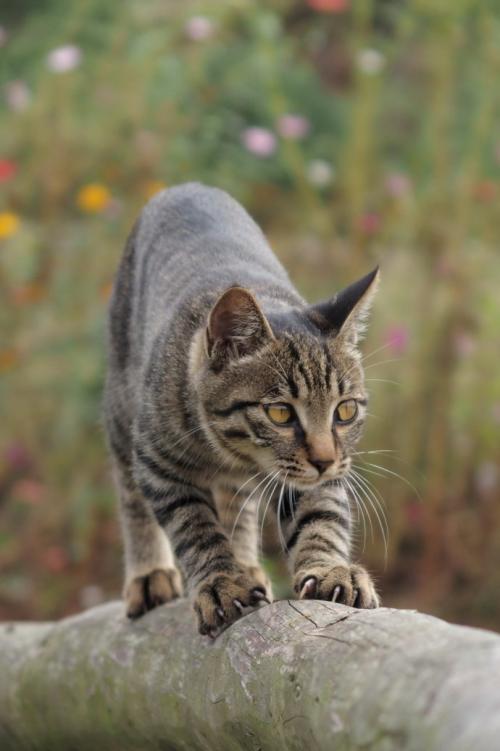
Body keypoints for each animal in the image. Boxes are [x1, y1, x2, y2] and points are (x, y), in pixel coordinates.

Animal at [104, 182, 378, 636]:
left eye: (344, 412)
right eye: (281, 413)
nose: (323, 460)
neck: (232, 452)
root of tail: (187, 186)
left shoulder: (317, 475)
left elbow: (320, 518)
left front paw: (329, 569)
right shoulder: (157, 463)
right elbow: (195, 527)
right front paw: (221, 583)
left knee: (239, 502)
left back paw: (247, 562)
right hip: (122, 405)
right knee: (129, 491)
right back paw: (149, 574)